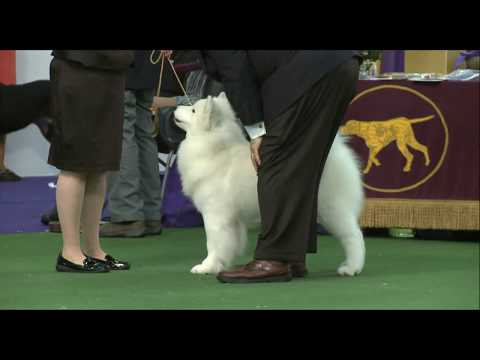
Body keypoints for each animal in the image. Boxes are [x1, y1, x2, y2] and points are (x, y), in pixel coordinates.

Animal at [174, 93, 366, 276]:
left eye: (193, 110)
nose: (176, 107)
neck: (215, 150)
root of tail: (338, 154)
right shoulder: (233, 219)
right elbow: (230, 243)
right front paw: (223, 263)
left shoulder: (215, 215)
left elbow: (213, 243)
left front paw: (207, 266)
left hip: (331, 209)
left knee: (353, 235)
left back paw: (351, 268)